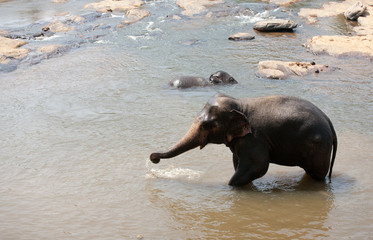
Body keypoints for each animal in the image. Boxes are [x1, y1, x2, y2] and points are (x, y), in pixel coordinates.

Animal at [149, 93, 338, 186]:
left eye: (207, 125)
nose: (153, 158)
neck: (240, 104)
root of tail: (330, 122)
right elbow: (238, 162)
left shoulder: (254, 138)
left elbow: (259, 166)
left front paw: (230, 186)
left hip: (318, 147)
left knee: (317, 174)